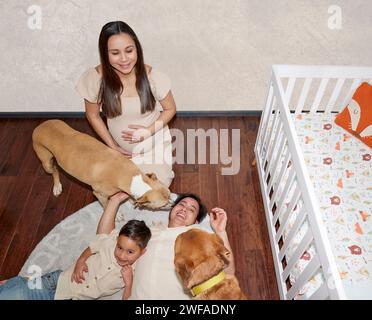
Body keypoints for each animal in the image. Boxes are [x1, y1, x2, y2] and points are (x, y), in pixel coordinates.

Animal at [32, 119, 171, 209]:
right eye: (163, 204)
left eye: (169, 194)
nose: (173, 202)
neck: (128, 175)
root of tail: (39, 126)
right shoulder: (99, 194)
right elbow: (105, 205)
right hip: (45, 162)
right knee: (54, 170)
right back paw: (57, 187)